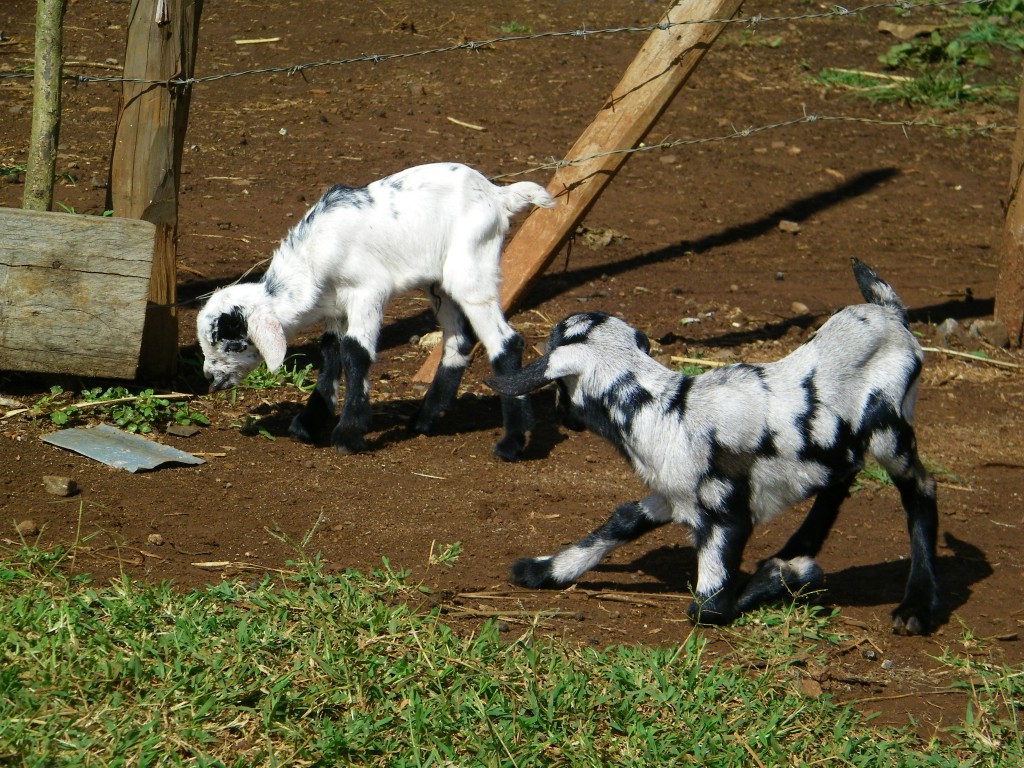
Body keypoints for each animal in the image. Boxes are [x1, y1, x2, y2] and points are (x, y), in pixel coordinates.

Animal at [196, 162, 557, 460]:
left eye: (231, 342)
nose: (210, 379)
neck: (311, 262)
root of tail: (499, 195)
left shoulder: (367, 292)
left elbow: (356, 353)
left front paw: (347, 435)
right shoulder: (336, 308)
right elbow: (331, 352)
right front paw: (309, 422)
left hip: (471, 268)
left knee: (505, 342)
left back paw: (512, 443)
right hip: (439, 282)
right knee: (459, 340)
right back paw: (426, 418)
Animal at [487, 260, 942, 638]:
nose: (563, 418)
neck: (666, 408)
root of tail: (890, 314)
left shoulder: (726, 520)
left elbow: (710, 608)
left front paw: (792, 572)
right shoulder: (673, 494)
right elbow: (622, 521)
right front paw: (542, 570)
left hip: (890, 430)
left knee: (921, 488)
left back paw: (915, 606)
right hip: (843, 444)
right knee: (842, 475)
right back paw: (800, 545)